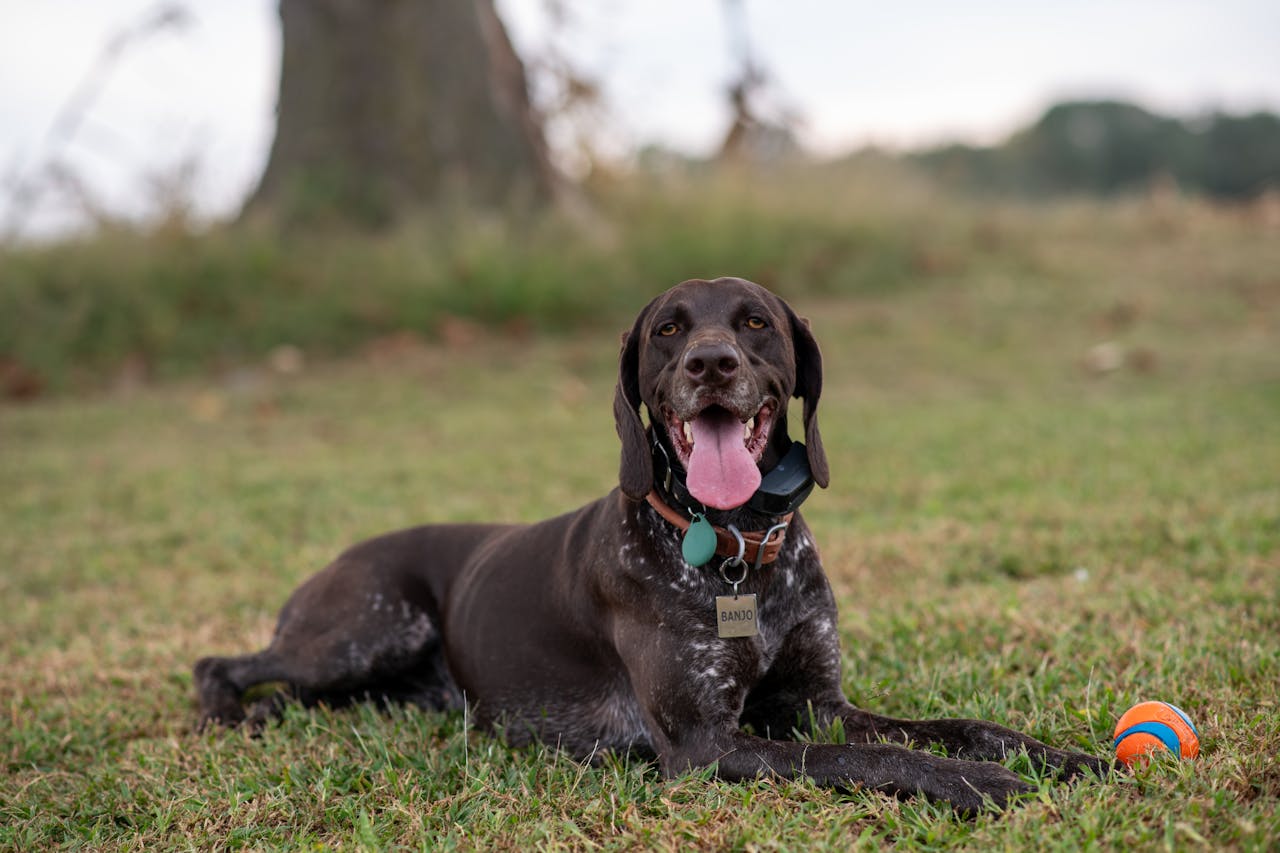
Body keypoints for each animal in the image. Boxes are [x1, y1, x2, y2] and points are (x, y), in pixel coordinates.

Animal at [194, 277, 1105, 809]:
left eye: (755, 323)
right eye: (668, 330)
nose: (710, 362)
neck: (738, 544)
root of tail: (336, 559)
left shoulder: (818, 701)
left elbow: (952, 725)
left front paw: (1057, 755)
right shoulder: (705, 745)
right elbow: (872, 762)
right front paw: (977, 783)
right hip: (368, 627)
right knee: (222, 662)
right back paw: (227, 714)